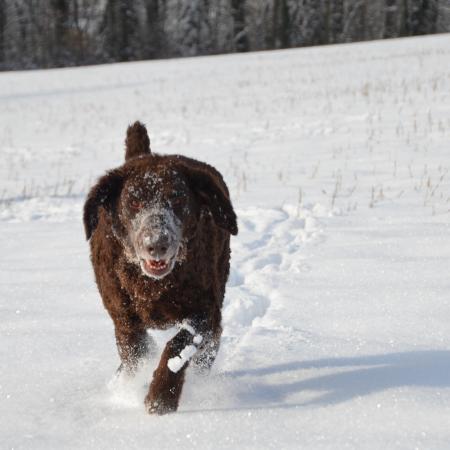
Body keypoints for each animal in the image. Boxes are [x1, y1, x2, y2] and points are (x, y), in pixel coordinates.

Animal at [84, 120, 239, 414]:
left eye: (178, 199)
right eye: (133, 201)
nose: (157, 243)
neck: (153, 285)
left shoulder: (205, 310)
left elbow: (177, 346)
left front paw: (161, 398)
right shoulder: (124, 317)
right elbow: (137, 352)